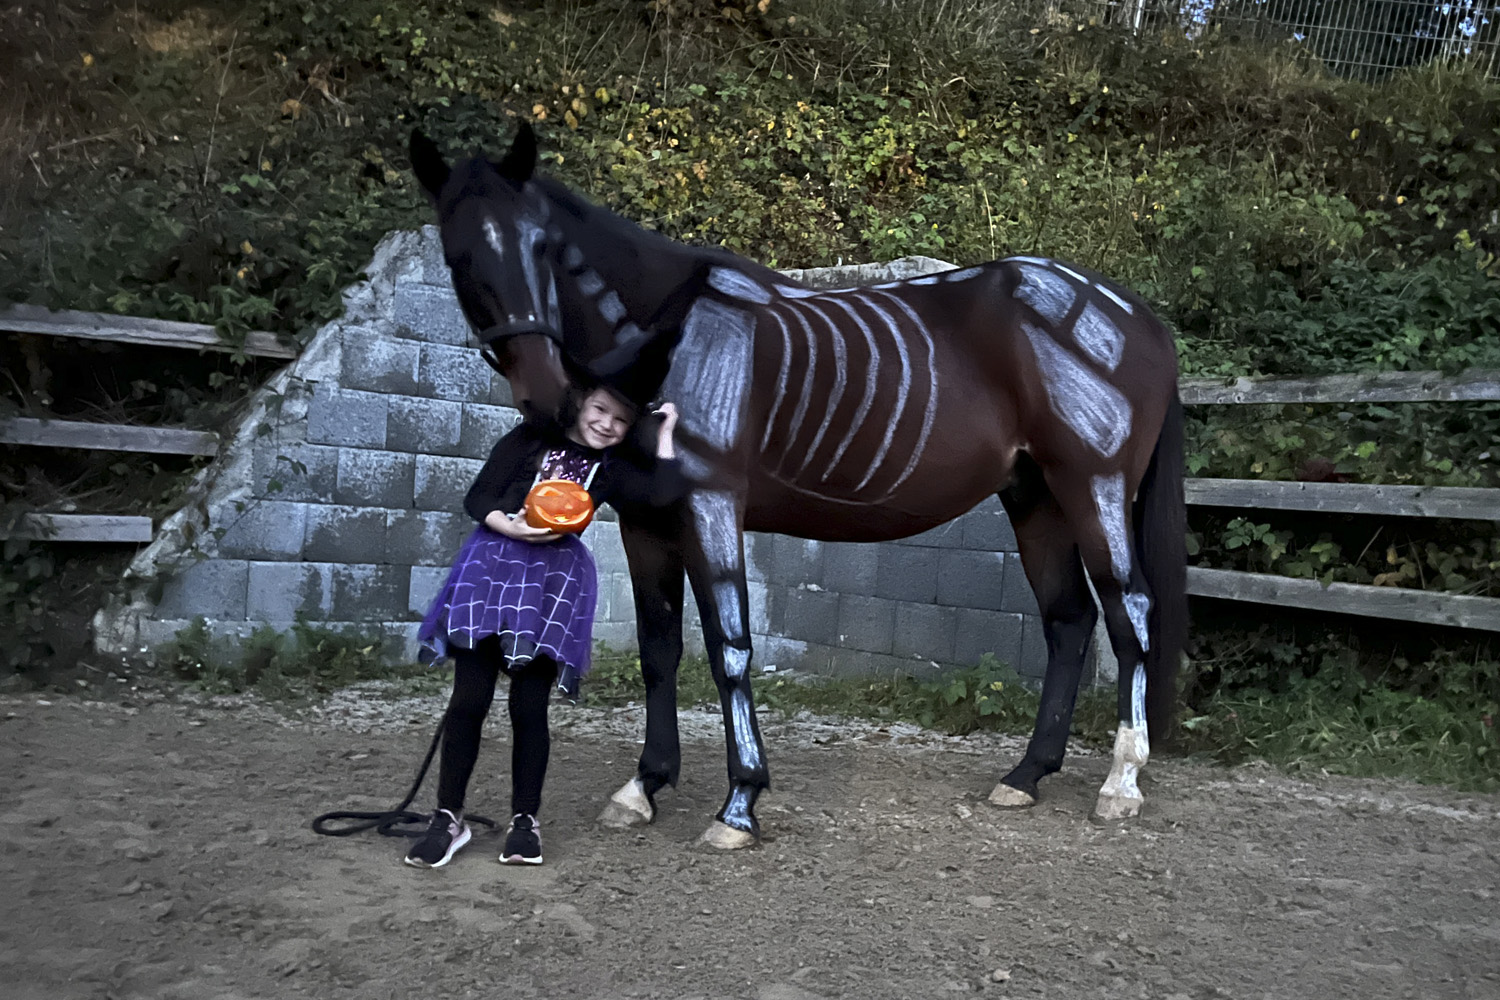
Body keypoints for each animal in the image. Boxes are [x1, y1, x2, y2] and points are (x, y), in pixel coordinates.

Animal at [409, 124, 1188, 849]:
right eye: (457, 257)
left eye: (542, 247)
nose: (547, 397)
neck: (672, 343)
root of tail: (1137, 316)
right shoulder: (644, 522)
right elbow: (660, 651)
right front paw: (644, 786)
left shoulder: (712, 508)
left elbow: (729, 649)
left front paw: (739, 803)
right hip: (1035, 497)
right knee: (1069, 620)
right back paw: (1026, 775)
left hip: (1094, 488)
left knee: (1131, 612)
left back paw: (1121, 781)